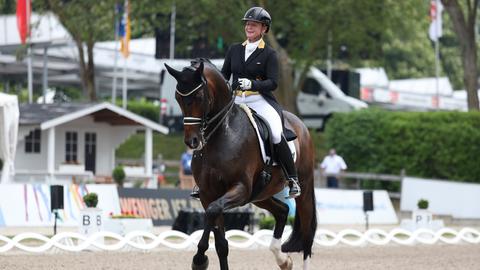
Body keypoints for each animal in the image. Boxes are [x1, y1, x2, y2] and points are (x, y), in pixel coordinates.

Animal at [166, 60, 318, 270]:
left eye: (199, 96)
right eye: (178, 98)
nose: (192, 141)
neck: (222, 135)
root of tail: (301, 124)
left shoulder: (240, 188)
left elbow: (212, 211)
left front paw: (199, 260)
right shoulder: (208, 193)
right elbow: (221, 242)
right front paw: (202, 259)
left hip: (301, 190)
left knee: (306, 235)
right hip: (260, 194)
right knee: (282, 211)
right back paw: (283, 260)